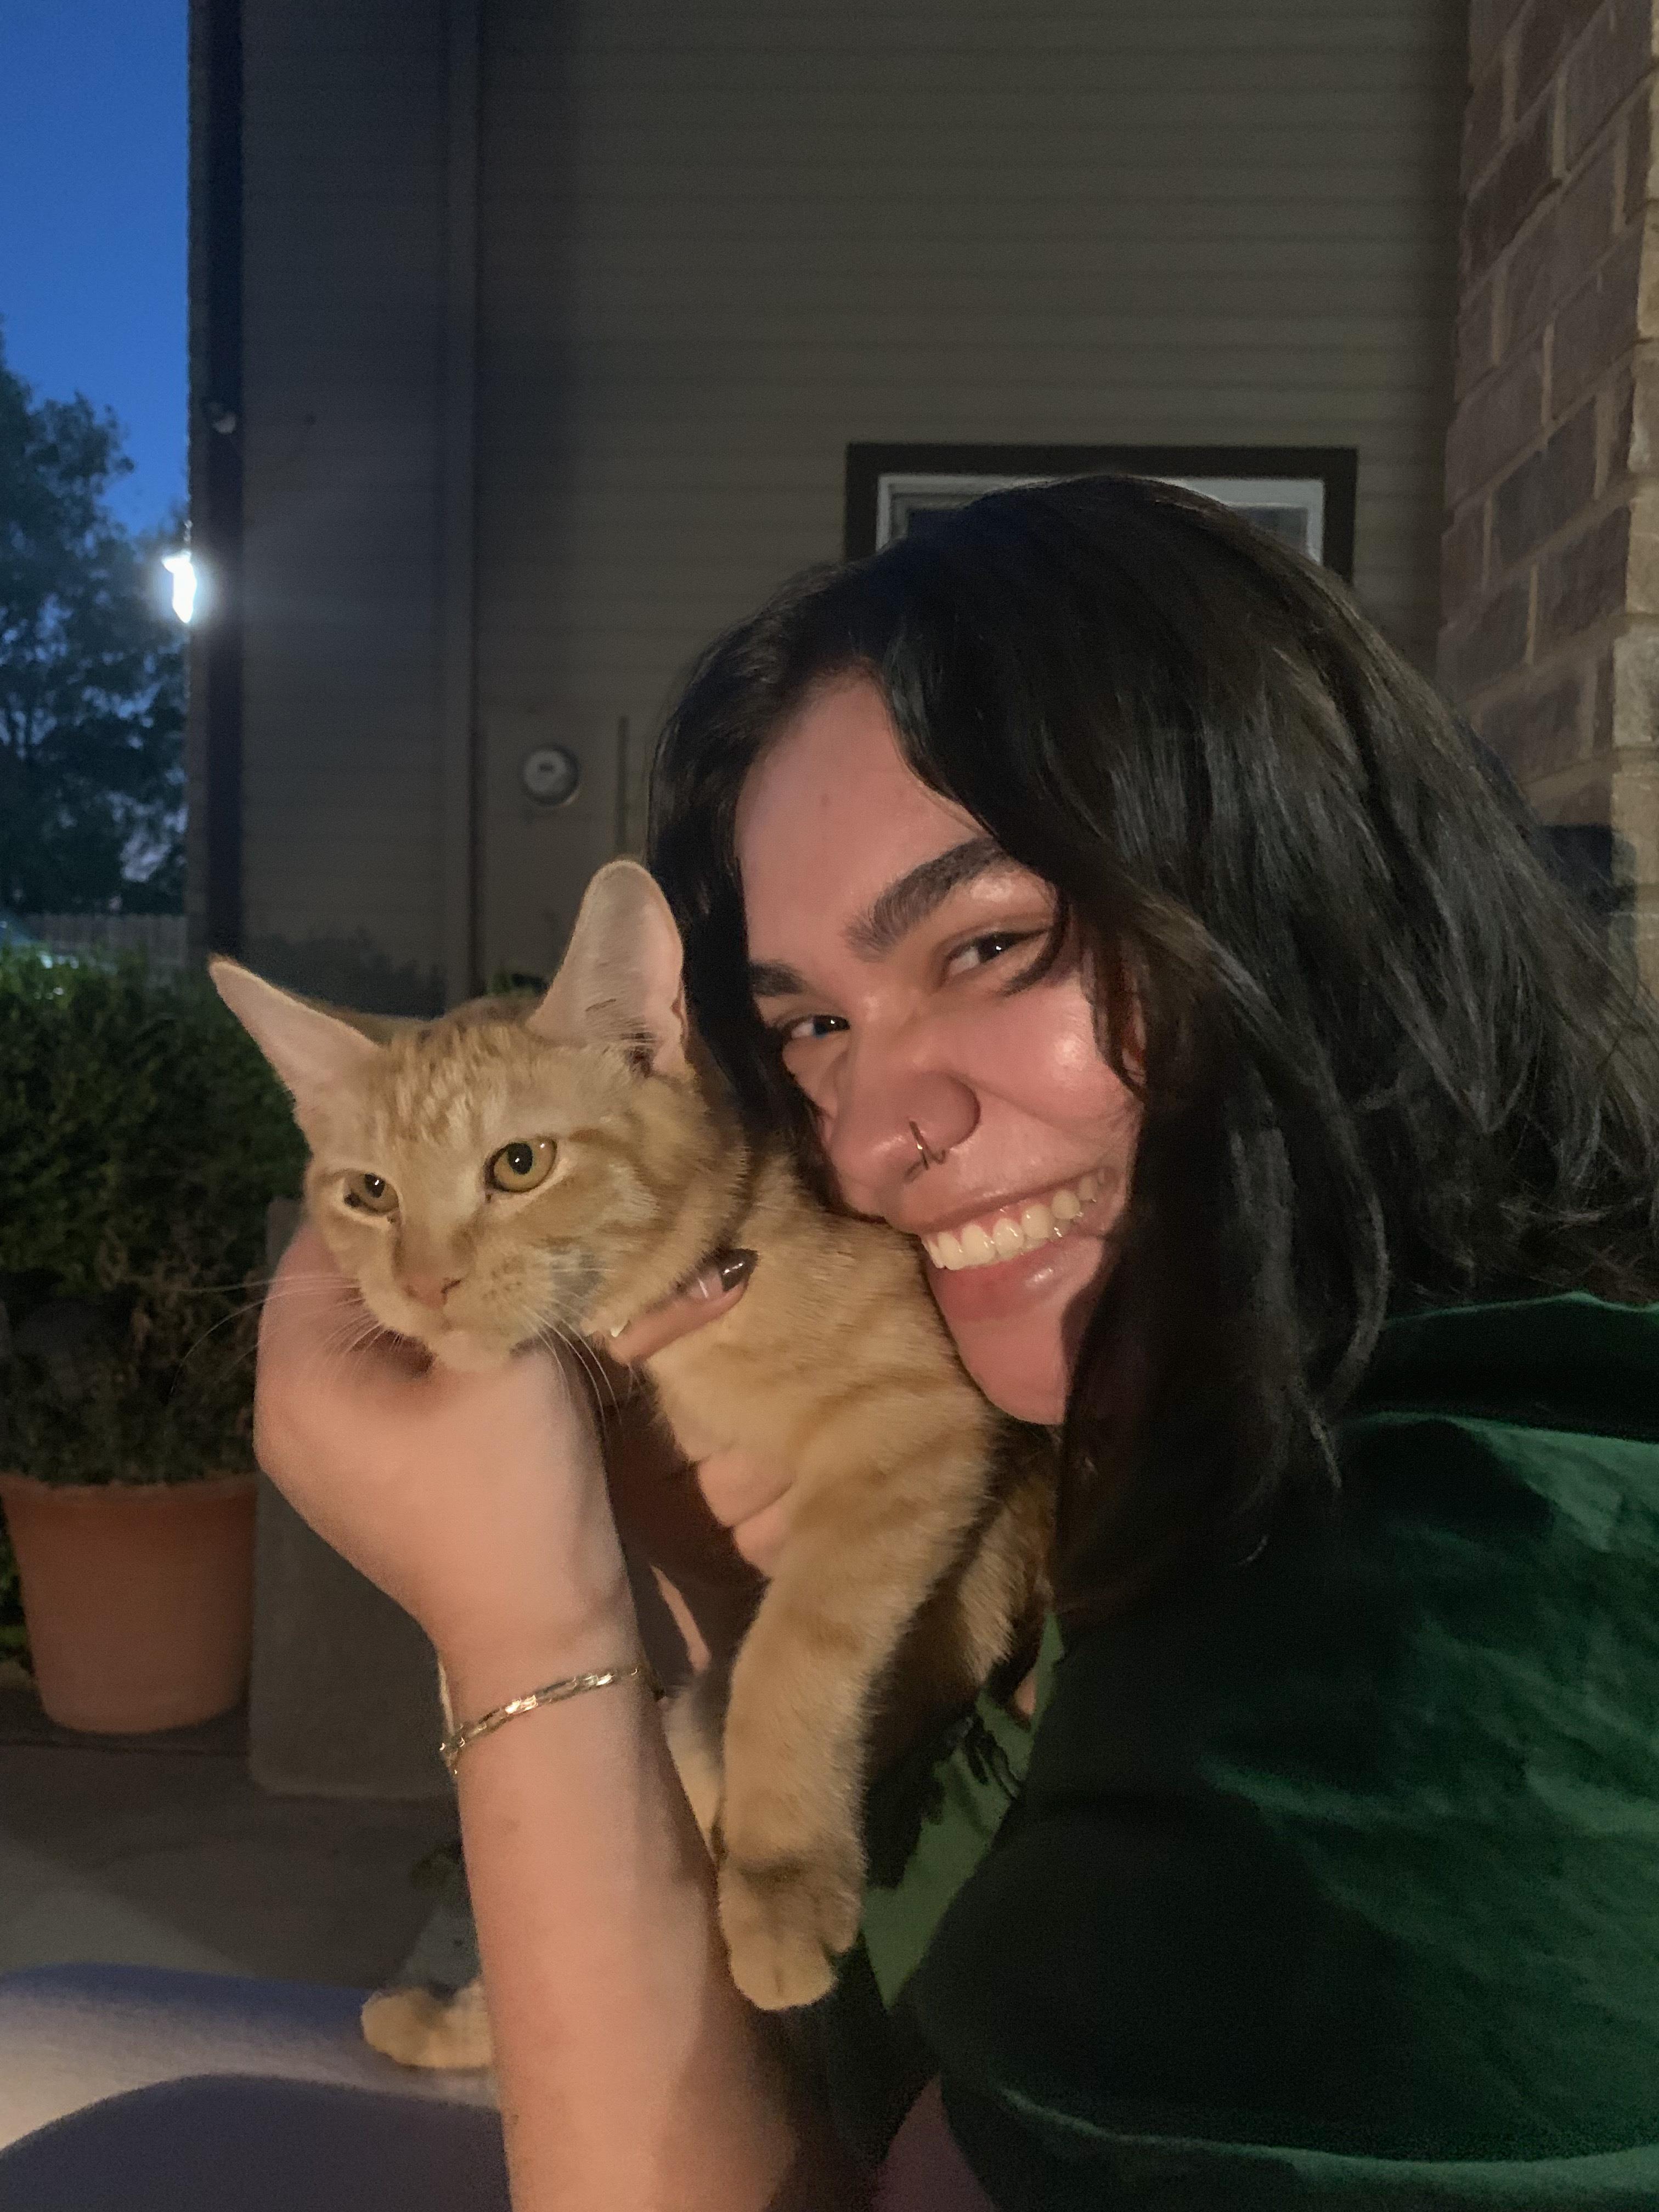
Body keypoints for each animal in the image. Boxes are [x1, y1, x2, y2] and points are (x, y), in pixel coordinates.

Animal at [215, 854, 1057, 2044]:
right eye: (369, 1193)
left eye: (520, 1165)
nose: (423, 1285)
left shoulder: (917, 1429)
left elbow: (794, 1655)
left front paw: (781, 1877)